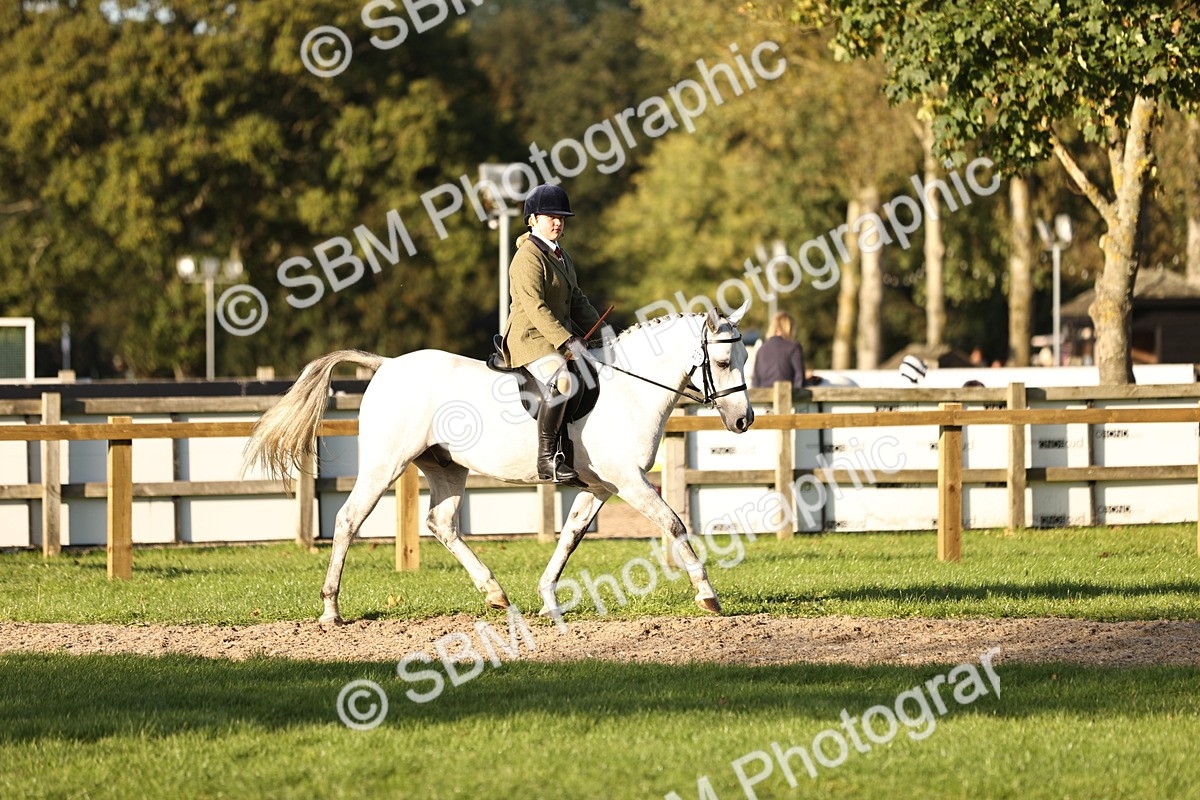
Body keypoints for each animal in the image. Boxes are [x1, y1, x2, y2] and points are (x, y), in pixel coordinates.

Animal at [242, 300, 755, 624]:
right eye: (723, 361)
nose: (744, 420)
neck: (629, 389)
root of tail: (386, 365)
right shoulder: (629, 482)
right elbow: (675, 524)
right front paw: (708, 595)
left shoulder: (600, 487)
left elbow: (569, 537)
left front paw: (548, 599)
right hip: (384, 464)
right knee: (349, 519)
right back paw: (331, 610)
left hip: (446, 467)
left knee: (442, 523)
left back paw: (496, 594)